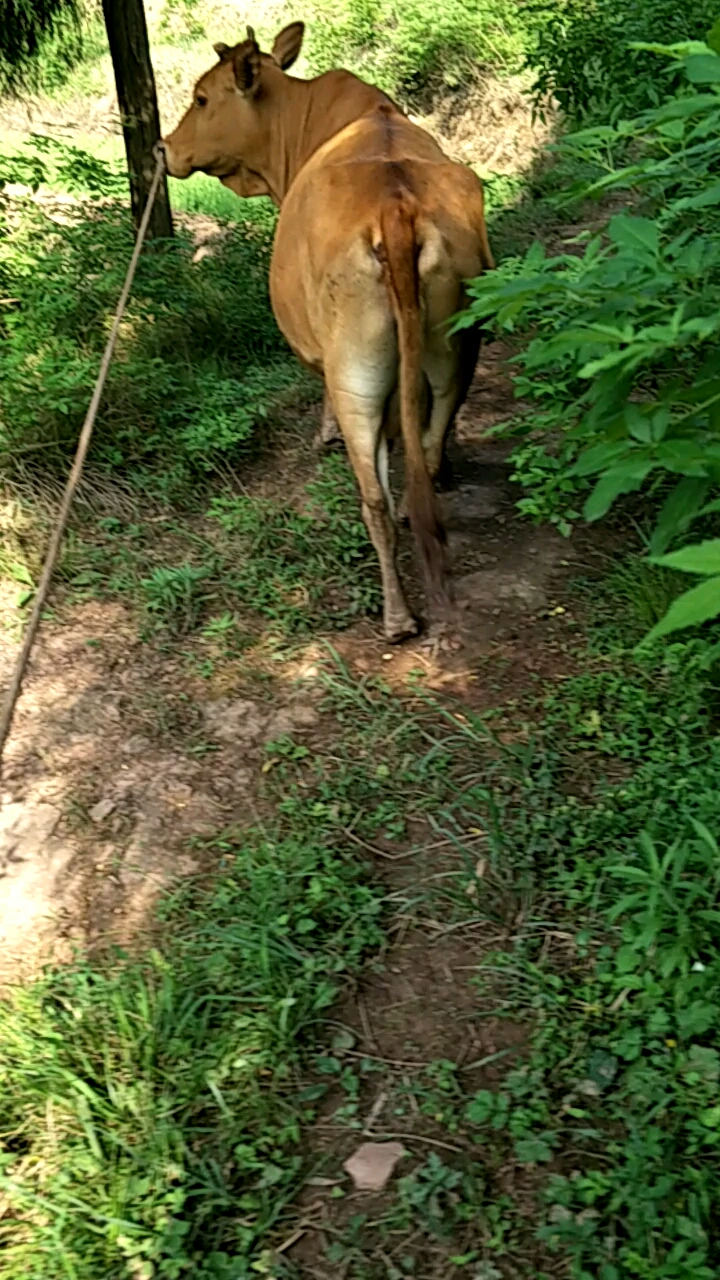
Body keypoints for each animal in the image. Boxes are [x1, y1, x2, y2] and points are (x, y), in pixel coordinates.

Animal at [162, 20, 489, 640]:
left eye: (202, 98)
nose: (163, 147)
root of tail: (395, 205)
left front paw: (325, 432)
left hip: (355, 373)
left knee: (374, 498)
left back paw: (396, 616)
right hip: (457, 342)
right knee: (431, 437)